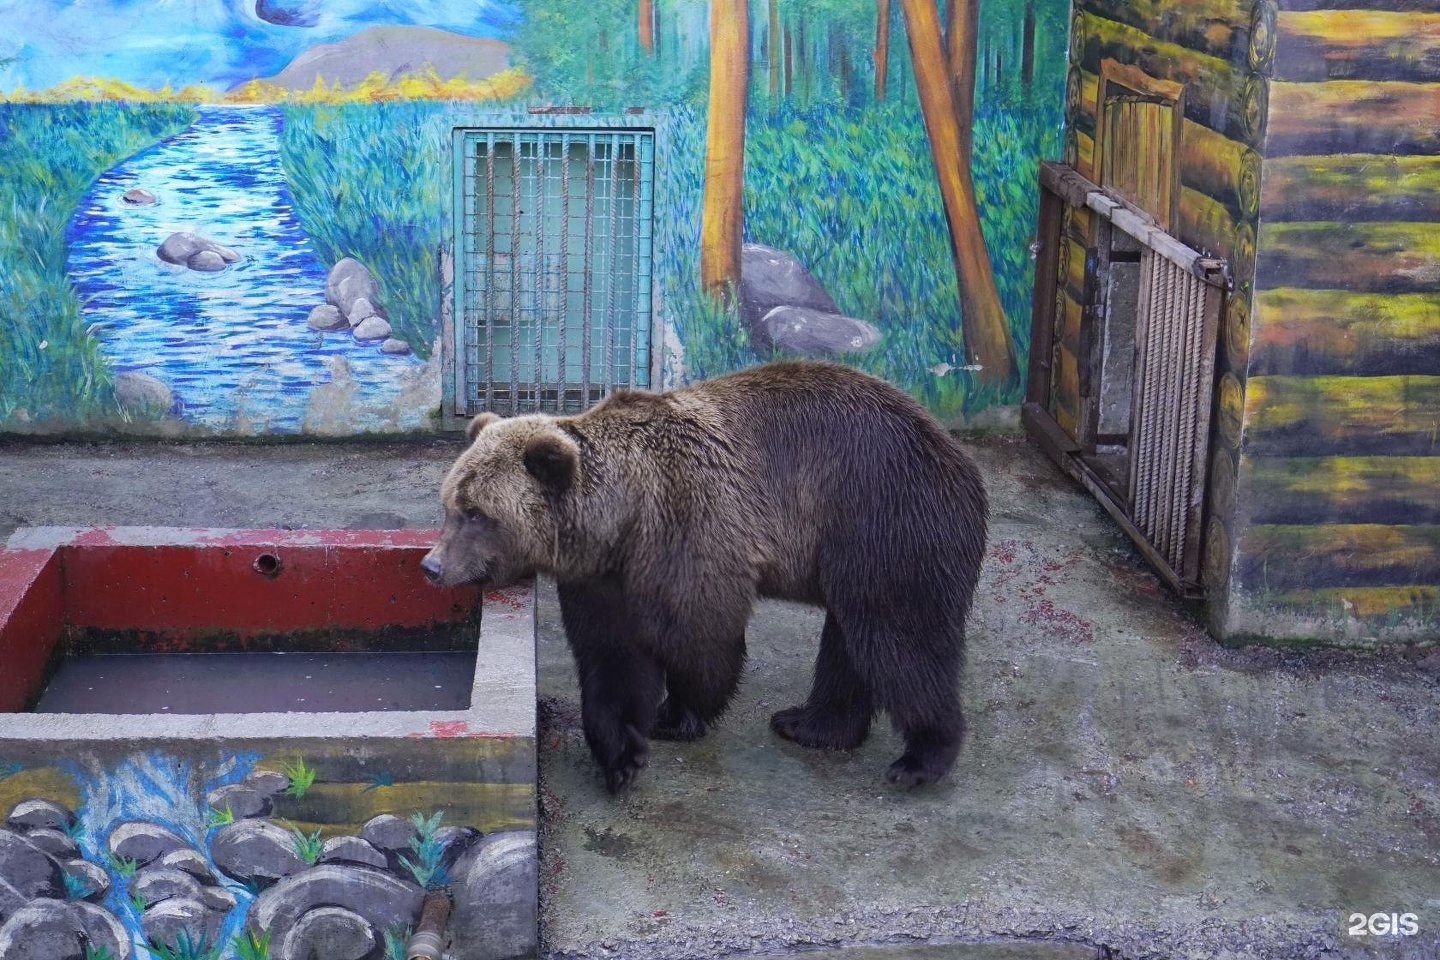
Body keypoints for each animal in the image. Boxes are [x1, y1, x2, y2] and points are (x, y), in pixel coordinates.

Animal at [420, 356, 984, 794]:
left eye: (477, 513)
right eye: (450, 504)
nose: (431, 565)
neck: (622, 518)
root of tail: (958, 457)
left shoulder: (689, 527)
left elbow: (699, 635)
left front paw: (675, 715)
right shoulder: (602, 574)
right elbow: (611, 656)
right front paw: (620, 754)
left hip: (882, 521)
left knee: (898, 638)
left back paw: (922, 757)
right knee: (852, 640)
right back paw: (810, 724)